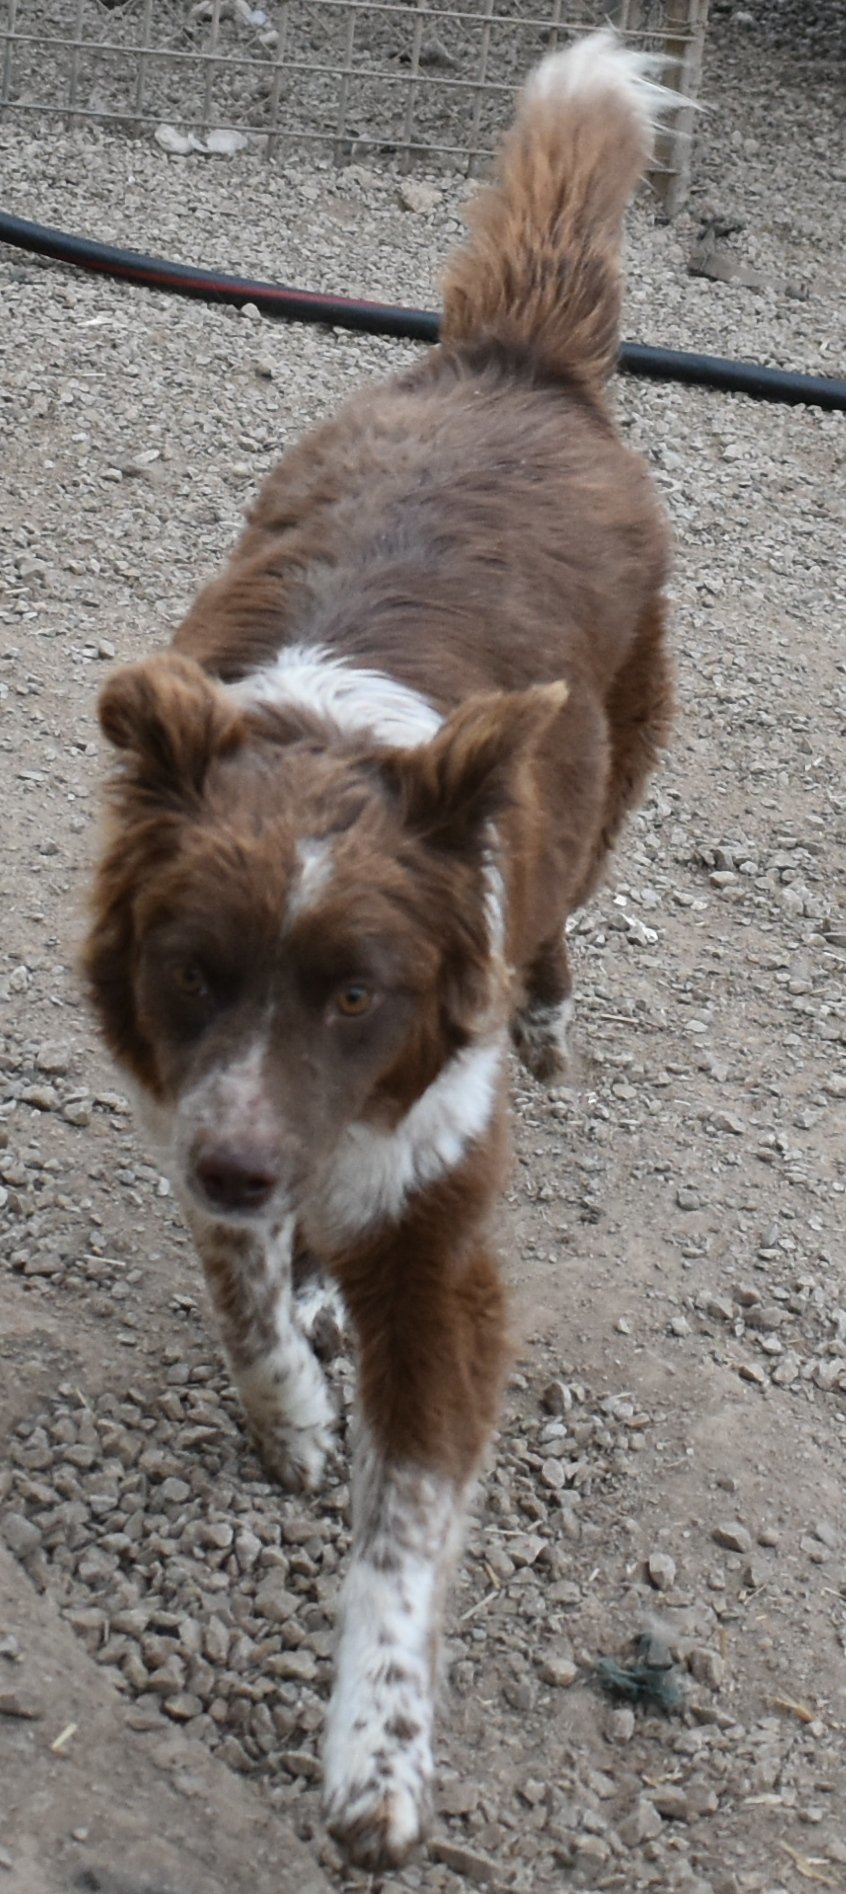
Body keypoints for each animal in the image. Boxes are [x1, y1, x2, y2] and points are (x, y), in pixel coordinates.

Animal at [86, 36, 677, 1871]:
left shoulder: (437, 1230)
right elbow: (237, 1283)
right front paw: (284, 1392)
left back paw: (548, 1008)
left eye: (362, 994)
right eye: (192, 969)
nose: (239, 1168)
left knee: (566, 904)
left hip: (613, 764)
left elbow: (406, 1524)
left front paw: (380, 1753)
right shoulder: (196, 1099)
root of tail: (515, 359)